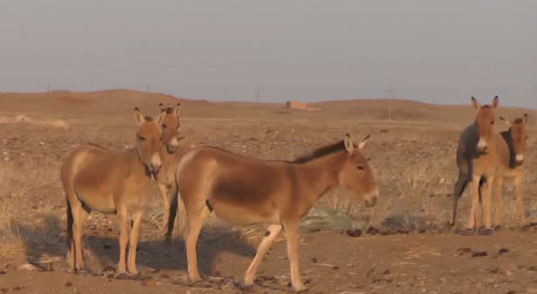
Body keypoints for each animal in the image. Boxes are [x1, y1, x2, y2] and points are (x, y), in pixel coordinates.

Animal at [61, 108, 164, 276]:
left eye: (160, 138)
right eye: (142, 137)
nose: (156, 166)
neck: (134, 174)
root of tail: (75, 153)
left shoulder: (139, 211)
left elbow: (134, 239)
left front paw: (133, 270)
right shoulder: (121, 208)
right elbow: (123, 238)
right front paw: (121, 270)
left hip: (86, 206)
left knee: (76, 228)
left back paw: (73, 264)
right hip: (74, 200)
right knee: (75, 229)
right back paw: (80, 265)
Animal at [165, 134, 378, 292]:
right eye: (360, 167)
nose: (374, 198)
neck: (303, 181)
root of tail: (186, 157)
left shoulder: (277, 223)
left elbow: (262, 248)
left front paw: (248, 280)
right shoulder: (291, 221)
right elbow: (293, 252)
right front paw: (299, 286)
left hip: (205, 208)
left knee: (192, 236)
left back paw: (196, 275)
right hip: (194, 204)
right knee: (190, 237)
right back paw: (194, 278)